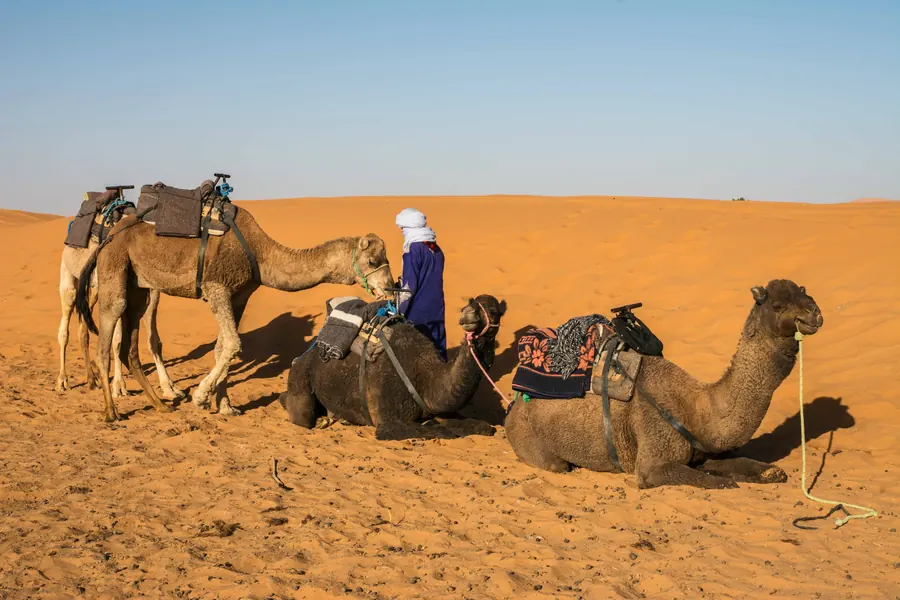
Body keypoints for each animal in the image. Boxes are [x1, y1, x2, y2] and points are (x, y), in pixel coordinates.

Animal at [57, 241, 182, 400]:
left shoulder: (151, 289)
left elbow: (154, 340)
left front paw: (169, 388)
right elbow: (117, 341)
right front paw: (119, 386)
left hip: (92, 290)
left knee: (83, 329)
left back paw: (92, 380)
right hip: (68, 274)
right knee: (64, 327)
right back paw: (62, 381)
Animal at [75, 209, 395, 422]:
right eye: (373, 260)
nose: (391, 287)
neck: (260, 253)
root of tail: (109, 235)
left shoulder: (239, 296)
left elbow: (221, 347)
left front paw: (226, 406)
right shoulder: (216, 288)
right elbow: (232, 343)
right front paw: (200, 397)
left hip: (139, 286)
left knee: (129, 344)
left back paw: (160, 404)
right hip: (115, 267)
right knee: (107, 335)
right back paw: (112, 411)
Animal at [279, 294, 506, 440]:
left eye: (494, 311)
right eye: (471, 305)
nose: (468, 317)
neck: (427, 379)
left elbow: (483, 426)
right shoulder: (387, 422)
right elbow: (438, 430)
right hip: (301, 373)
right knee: (302, 415)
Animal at [505, 279, 824, 489]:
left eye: (806, 293)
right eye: (778, 304)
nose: (815, 313)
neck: (698, 408)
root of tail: (514, 404)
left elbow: (761, 470)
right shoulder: (652, 459)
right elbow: (718, 482)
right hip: (529, 438)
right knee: (557, 464)